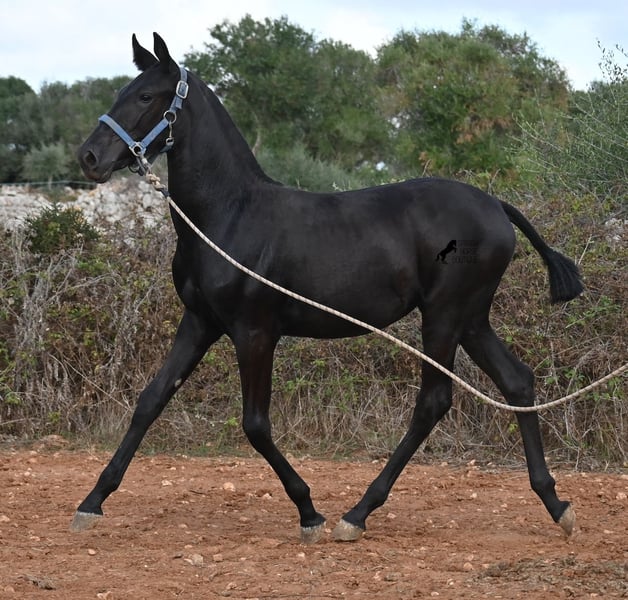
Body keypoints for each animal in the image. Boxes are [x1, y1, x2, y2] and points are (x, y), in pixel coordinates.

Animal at [73, 33, 582, 544]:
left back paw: (356, 514)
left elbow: (255, 425)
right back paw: (555, 502)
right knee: (517, 382)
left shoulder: (254, 333)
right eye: (121, 91)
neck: (230, 215)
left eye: (145, 96)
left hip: (444, 316)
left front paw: (309, 511)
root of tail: (496, 205)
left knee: (433, 402)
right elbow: (150, 401)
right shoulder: (200, 323)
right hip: (471, 319)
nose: (89, 157)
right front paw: (92, 501)